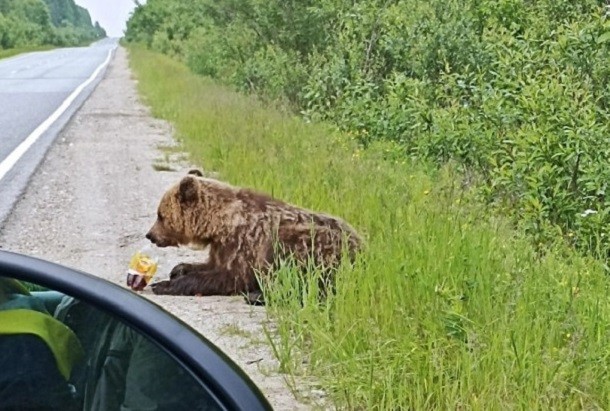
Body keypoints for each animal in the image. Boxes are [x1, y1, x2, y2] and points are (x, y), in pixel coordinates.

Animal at [144, 169, 360, 304]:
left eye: (160, 215)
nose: (150, 235)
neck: (221, 224)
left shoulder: (246, 241)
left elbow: (230, 277)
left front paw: (162, 285)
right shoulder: (222, 248)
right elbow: (211, 265)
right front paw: (178, 269)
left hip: (312, 242)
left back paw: (257, 296)